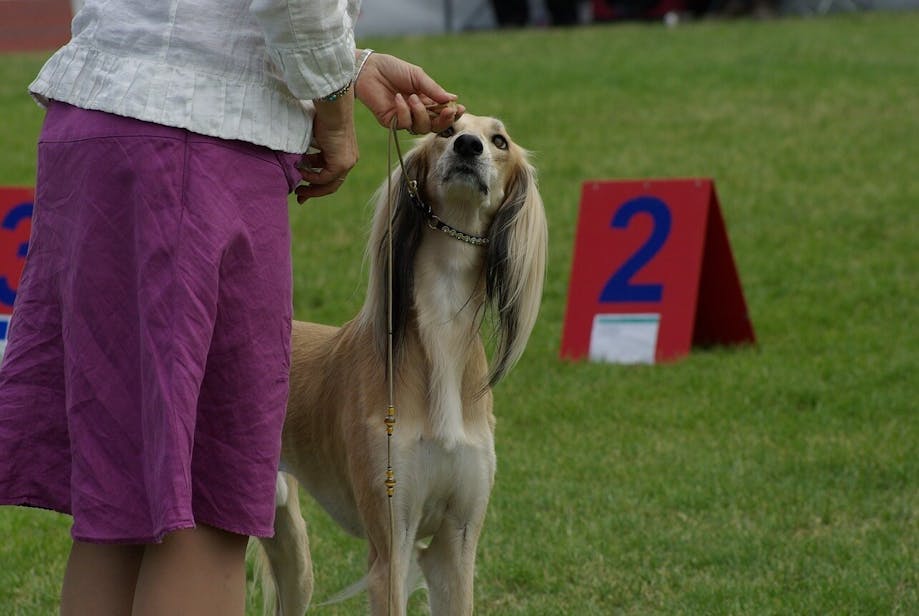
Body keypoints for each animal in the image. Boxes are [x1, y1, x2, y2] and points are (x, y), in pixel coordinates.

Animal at [255, 113, 548, 612]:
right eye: (447, 129)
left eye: (500, 140)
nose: (468, 147)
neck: (443, 336)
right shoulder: (392, 543)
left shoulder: (457, 544)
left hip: (291, 548)